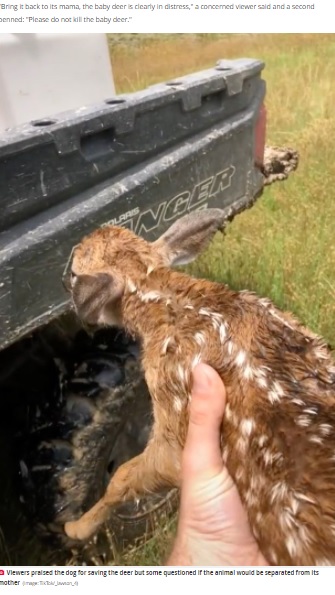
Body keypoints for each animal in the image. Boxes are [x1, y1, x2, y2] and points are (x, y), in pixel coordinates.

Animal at [64, 211, 335, 568]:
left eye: (72, 271)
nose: (62, 271)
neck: (177, 303)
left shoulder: (175, 414)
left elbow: (123, 475)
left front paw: (75, 528)